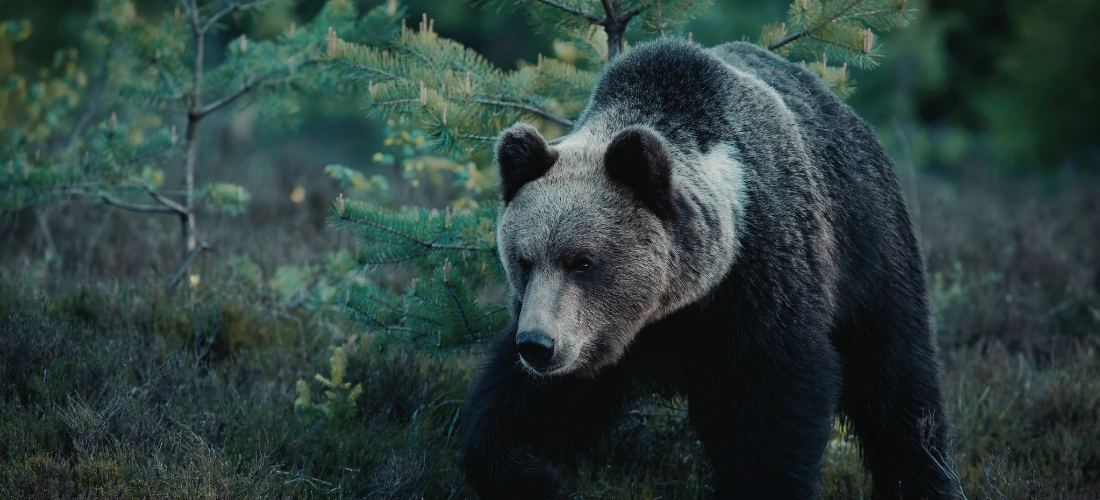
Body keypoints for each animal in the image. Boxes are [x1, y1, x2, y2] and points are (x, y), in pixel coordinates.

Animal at [459, 38, 956, 499]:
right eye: (523, 260)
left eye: (583, 261)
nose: (537, 346)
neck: (674, 306)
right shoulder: (593, 337)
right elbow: (522, 407)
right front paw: (535, 477)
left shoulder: (760, 280)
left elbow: (779, 400)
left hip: (867, 246)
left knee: (897, 380)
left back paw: (925, 479)